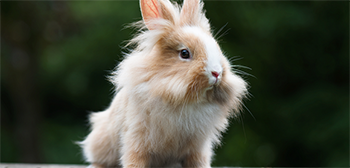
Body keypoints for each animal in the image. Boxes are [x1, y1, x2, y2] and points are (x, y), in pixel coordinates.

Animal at [80, 0, 249, 167]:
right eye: (184, 53)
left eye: (217, 48)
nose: (216, 73)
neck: (185, 100)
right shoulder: (136, 140)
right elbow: (134, 160)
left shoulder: (198, 149)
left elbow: (199, 163)